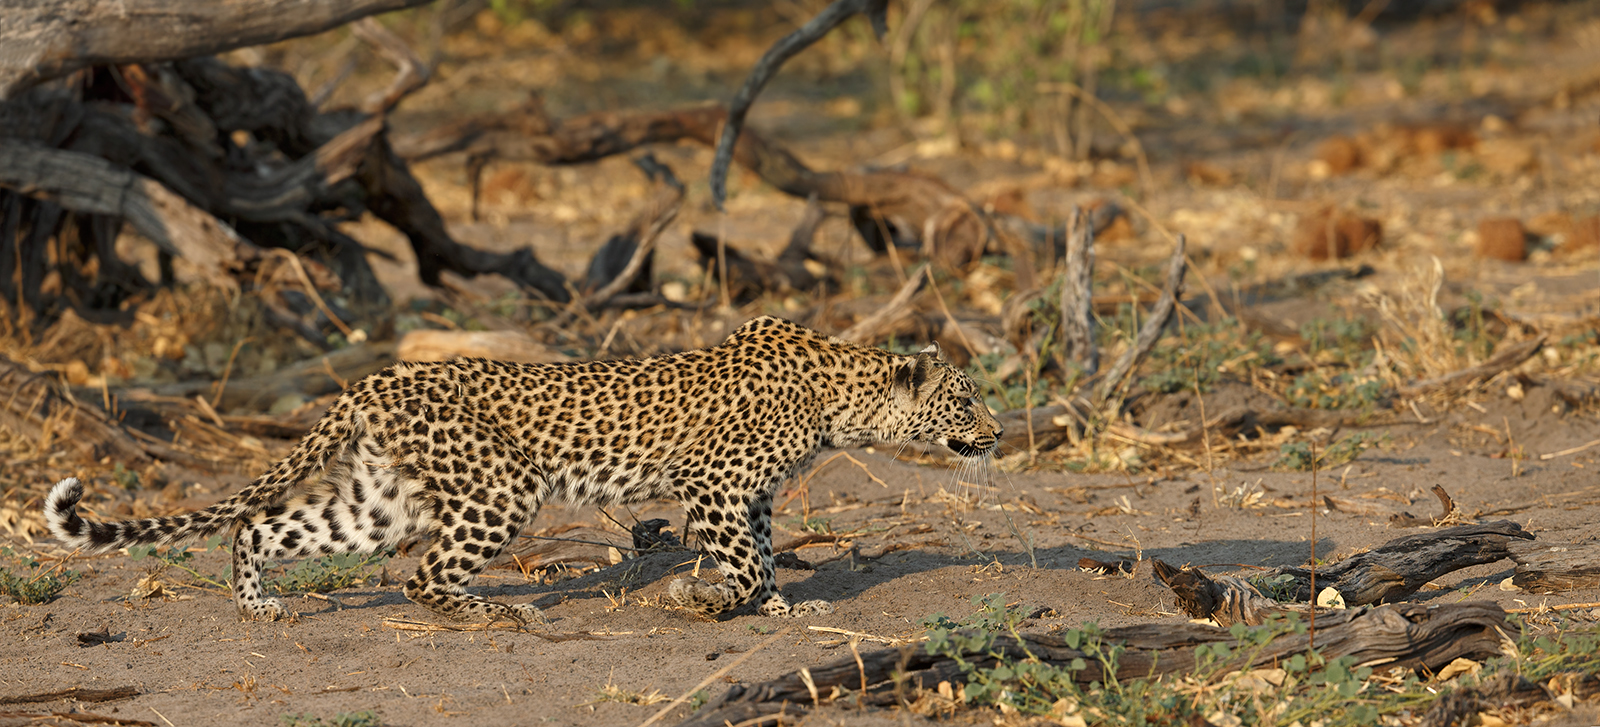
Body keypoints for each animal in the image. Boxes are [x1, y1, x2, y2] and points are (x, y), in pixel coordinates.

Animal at [45, 315, 1002, 625]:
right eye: (965, 402)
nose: (997, 434)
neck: (842, 397)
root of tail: (377, 376)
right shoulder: (714, 484)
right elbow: (743, 560)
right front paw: (706, 600)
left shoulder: (752, 495)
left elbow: (763, 556)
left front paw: (773, 606)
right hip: (501, 488)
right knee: (424, 579)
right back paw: (492, 612)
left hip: (384, 499)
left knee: (262, 524)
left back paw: (258, 606)